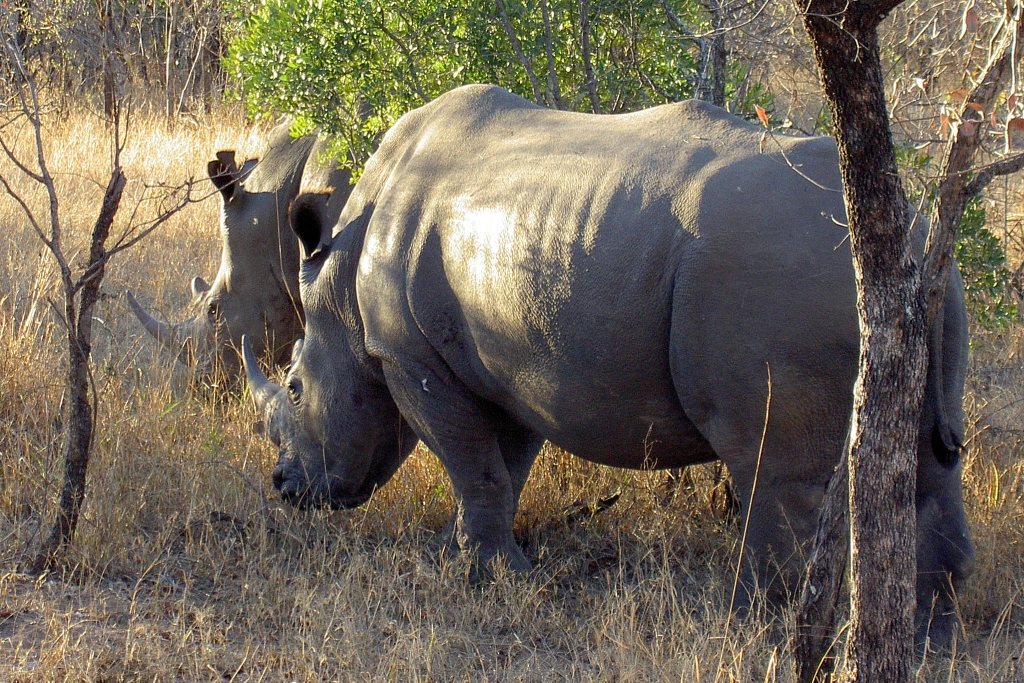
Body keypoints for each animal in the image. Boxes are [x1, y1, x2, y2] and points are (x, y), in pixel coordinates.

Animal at [243, 85, 973, 646]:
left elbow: (472, 462)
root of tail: (910, 238)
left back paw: (746, 627)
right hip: (904, 286)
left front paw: (487, 575)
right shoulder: (510, 367)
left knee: (773, 466)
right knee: (925, 461)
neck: (341, 277)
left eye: (295, 388)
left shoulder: (410, 357)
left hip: (780, 272)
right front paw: (480, 560)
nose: (285, 486)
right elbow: (501, 469)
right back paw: (930, 637)